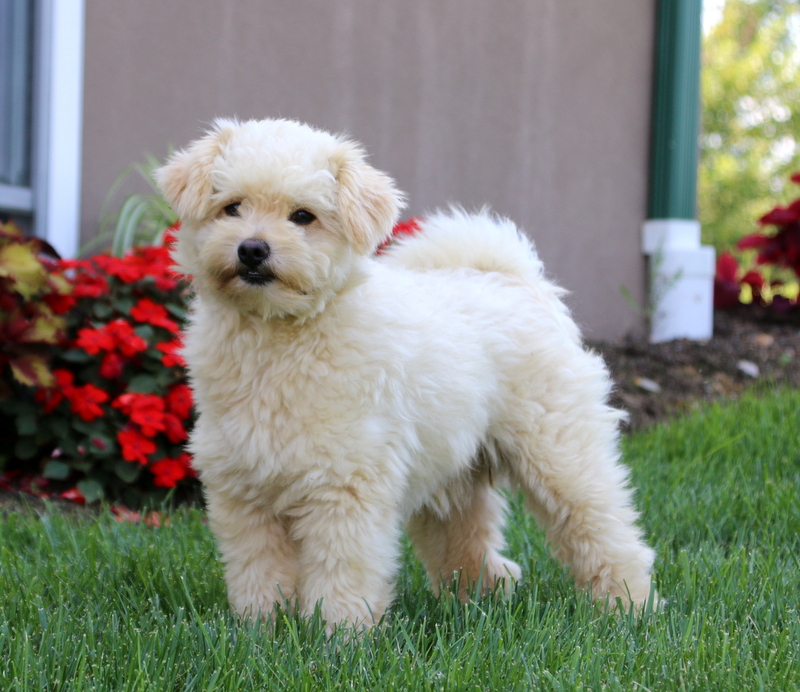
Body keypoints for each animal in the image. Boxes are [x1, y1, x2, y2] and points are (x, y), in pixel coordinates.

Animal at [156, 118, 656, 631]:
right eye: (232, 207)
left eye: (303, 216)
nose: (252, 249)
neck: (279, 334)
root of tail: (515, 280)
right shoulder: (243, 491)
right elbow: (258, 571)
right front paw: (261, 630)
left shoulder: (346, 486)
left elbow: (342, 569)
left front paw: (339, 633)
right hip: (454, 477)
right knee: (473, 547)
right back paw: (479, 604)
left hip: (562, 456)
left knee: (606, 530)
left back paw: (629, 608)